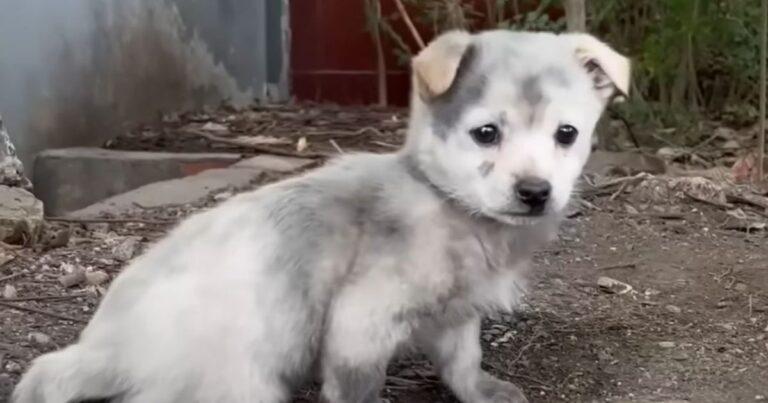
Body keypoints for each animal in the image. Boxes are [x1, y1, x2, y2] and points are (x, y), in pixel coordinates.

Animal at [13, 30, 632, 403]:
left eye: (567, 134)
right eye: (486, 133)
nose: (535, 192)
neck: (444, 202)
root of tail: (105, 350)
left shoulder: (458, 312)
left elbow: (462, 360)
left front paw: (482, 389)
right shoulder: (360, 322)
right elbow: (357, 388)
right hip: (245, 383)